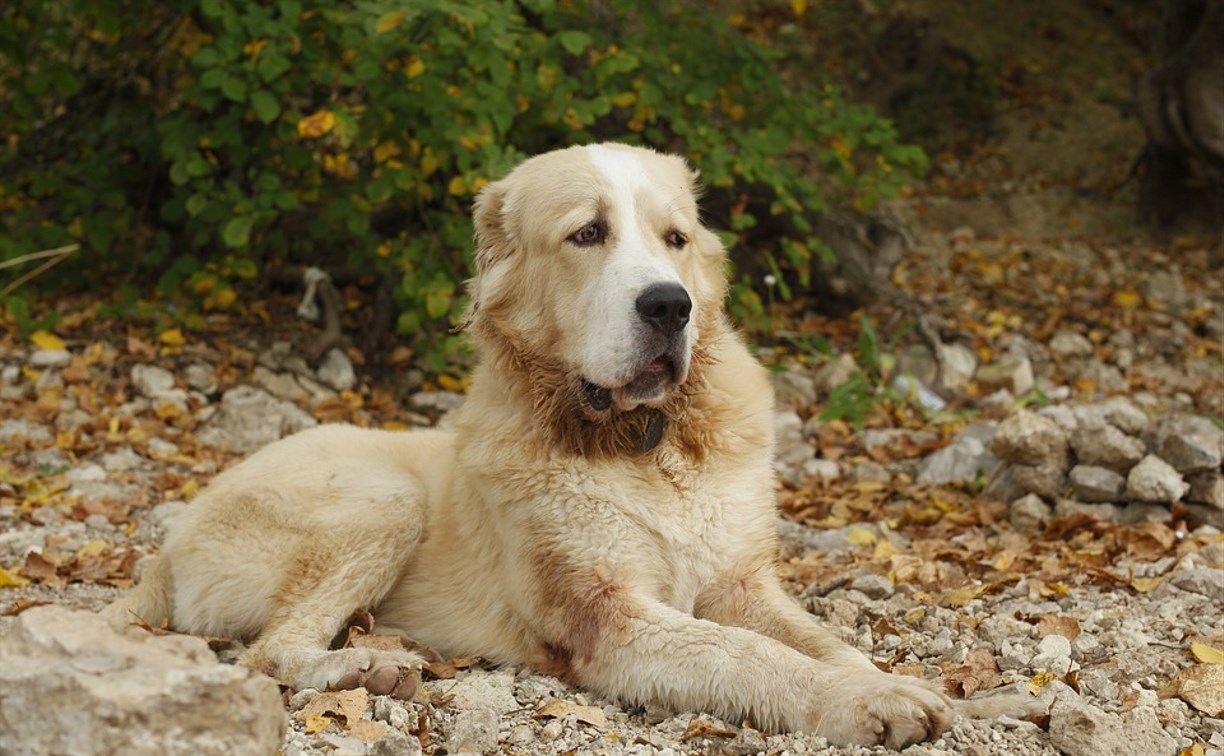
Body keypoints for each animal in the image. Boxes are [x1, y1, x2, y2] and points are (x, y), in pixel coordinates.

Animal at [102, 144, 954, 743]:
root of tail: (167, 547)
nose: (669, 306)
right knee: (266, 653)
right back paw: (365, 666)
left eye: (675, 238)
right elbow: (750, 655)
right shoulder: (608, 618)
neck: (644, 444)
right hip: (384, 499)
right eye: (588, 234)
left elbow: (820, 641)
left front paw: (892, 684)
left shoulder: (743, 586)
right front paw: (867, 702)